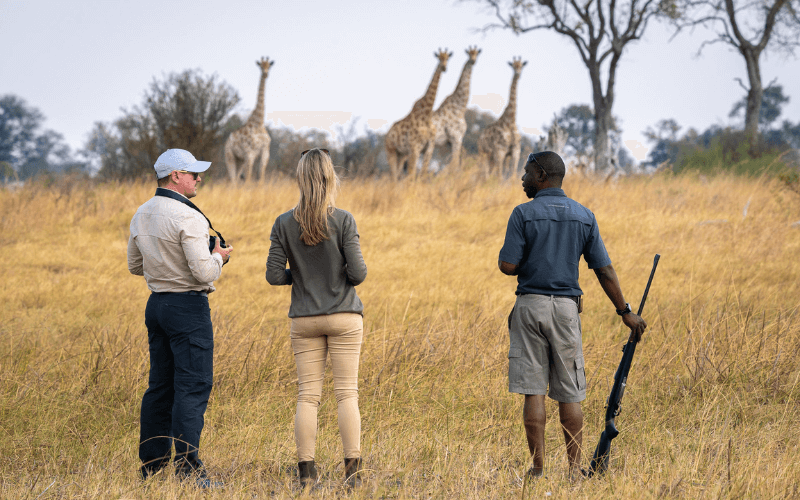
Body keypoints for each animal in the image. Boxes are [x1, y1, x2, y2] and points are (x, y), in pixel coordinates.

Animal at [384, 49, 452, 181]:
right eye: (439, 58)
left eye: (447, 58)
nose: (444, 67)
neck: (427, 113)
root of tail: (387, 136)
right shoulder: (415, 147)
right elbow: (412, 173)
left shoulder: (429, 148)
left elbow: (423, 172)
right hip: (391, 151)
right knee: (393, 176)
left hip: (402, 154)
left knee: (397, 174)